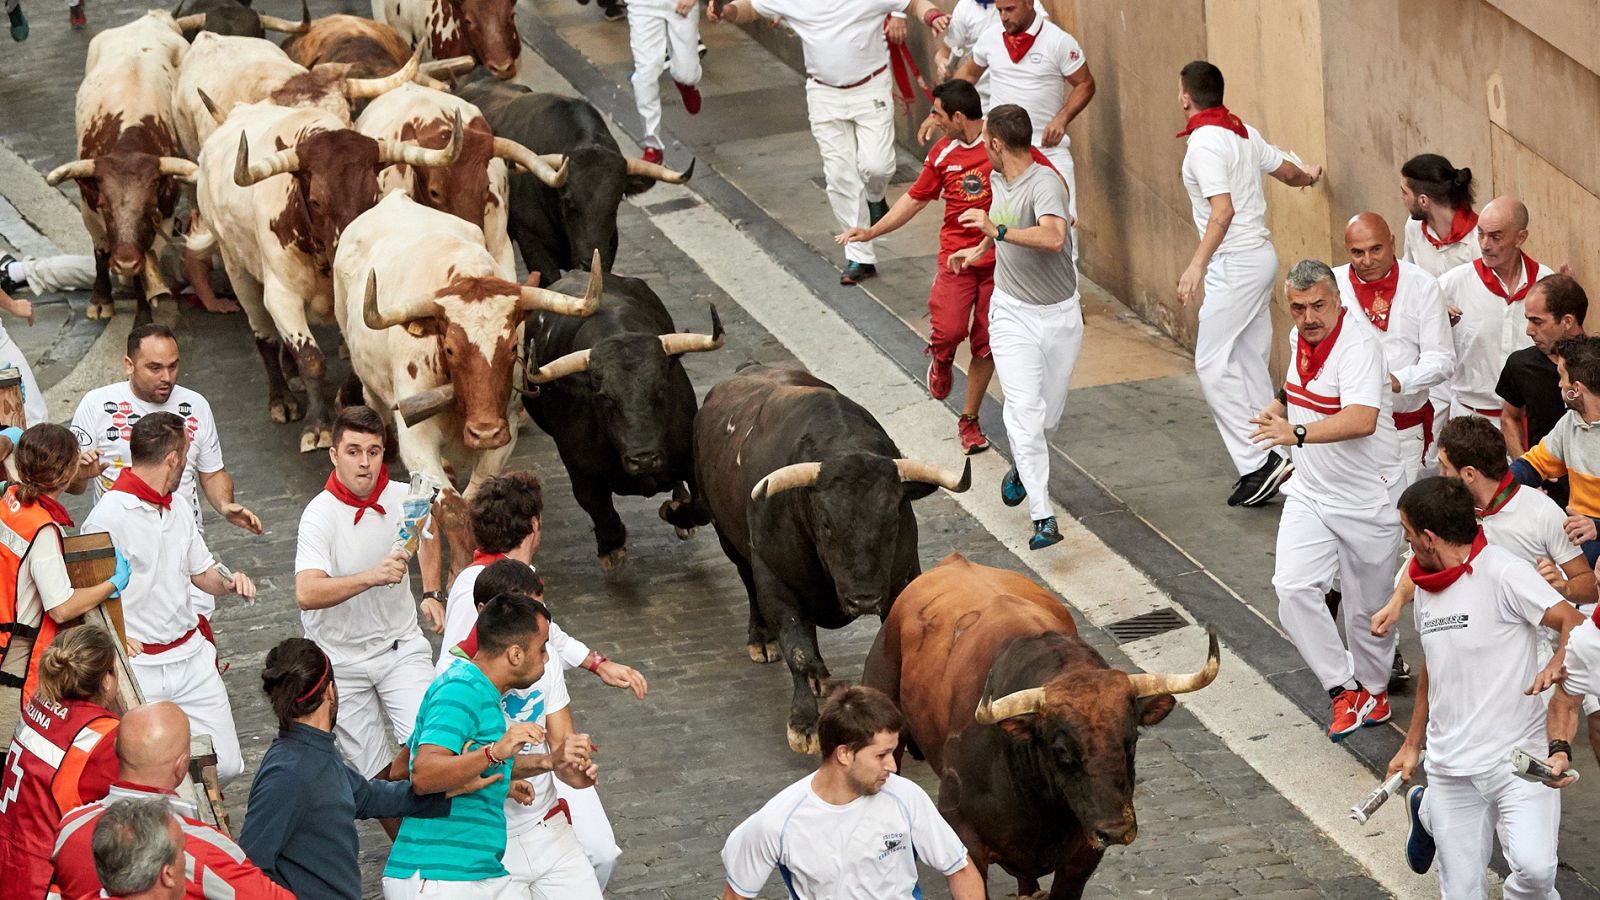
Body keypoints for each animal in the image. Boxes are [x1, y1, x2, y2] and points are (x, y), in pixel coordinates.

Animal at [521, 269, 723, 566]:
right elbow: (603, 514)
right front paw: (611, 546)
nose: (644, 459)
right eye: (605, 397)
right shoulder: (582, 477)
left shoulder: (692, 460)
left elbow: (700, 508)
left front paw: (673, 512)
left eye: (661, 387)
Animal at [694, 361, 966, 749]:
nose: (864, 599)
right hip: (728, 538)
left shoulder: (900, 578)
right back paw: (761, 640)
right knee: (748, 584)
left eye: (893, 519)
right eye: (825, 524)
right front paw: (803, 723)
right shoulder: (777, 582)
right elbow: (797, 648)